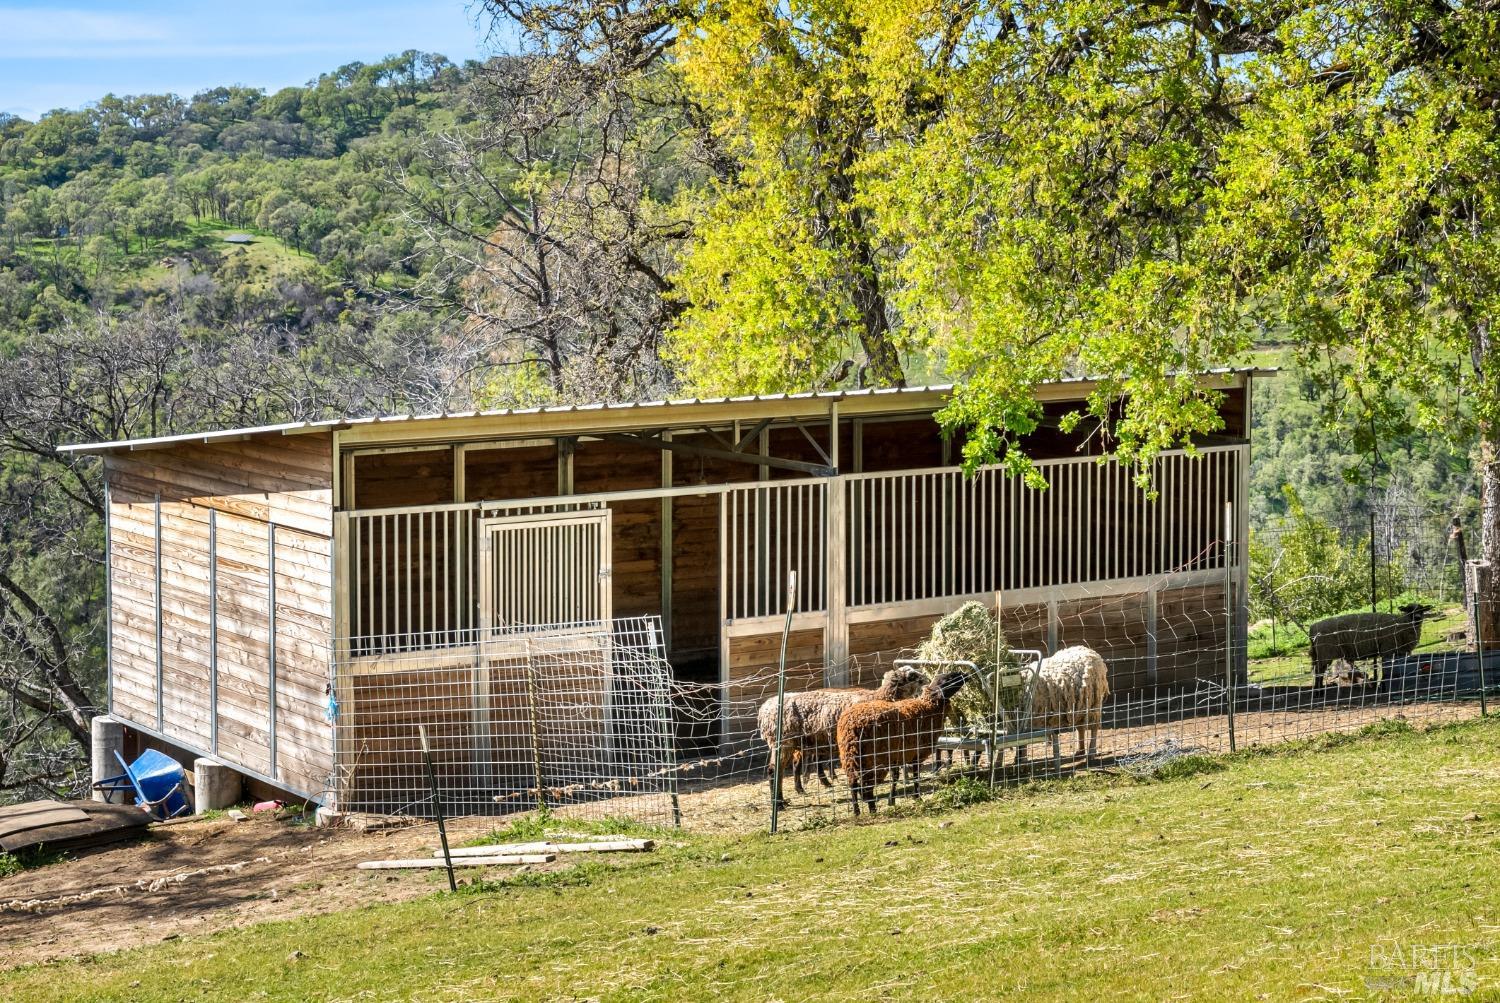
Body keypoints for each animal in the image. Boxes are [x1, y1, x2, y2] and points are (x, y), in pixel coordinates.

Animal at [762, 665, 924, 803]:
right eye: (912, 676)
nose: (926, 679)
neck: (878, 698)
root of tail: (765, 709)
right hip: (784, 742)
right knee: (773, 771)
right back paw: (780, 803)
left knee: (788, 768)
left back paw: (793, 793)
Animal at [840, 665, 966, 815]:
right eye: (949, 678)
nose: (964, 674)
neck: (928, 708)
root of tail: (852, 727)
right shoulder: (916, 753)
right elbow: (916, 776)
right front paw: (917, 797)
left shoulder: (897, 756)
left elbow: (895, 777)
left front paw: (891, 800)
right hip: (873, 760)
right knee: (867, 787)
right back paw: (872, 810)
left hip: (850, 759)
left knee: (853, 784)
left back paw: (856, 811)